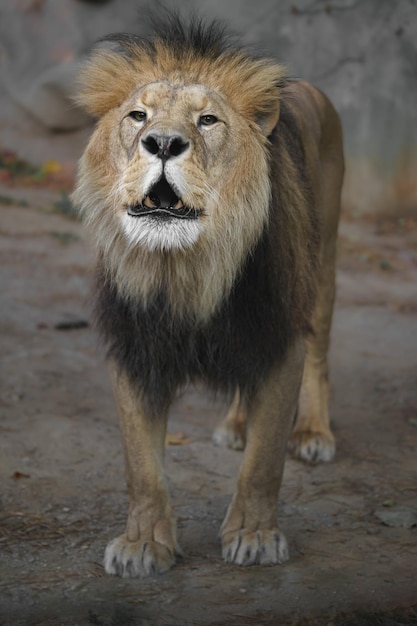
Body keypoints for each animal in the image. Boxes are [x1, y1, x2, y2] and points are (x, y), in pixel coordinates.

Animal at [73, 12, 342, 576]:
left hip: (323, 268)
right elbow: (141, 466)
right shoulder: (134, 344)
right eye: (138, 115)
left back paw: (313, 434)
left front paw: (255, 536)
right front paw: (142, 544)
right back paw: (235, 424)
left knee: (320, 358)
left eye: (208, 121)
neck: (185, 268)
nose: (162, 143)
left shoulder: (280, 332)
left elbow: (264, 460)